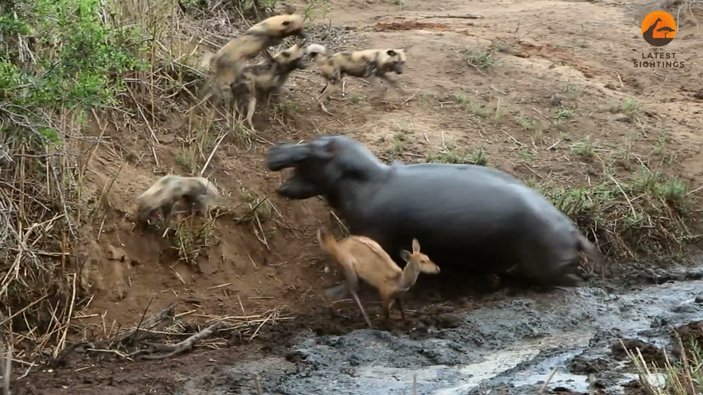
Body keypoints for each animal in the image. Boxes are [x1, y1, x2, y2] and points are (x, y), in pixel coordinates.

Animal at [266, 135, 604, 286]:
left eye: (315, 148)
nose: (273, 151)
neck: (367, 178)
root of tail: (575, 233)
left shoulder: (374, 236)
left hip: (547, 268)